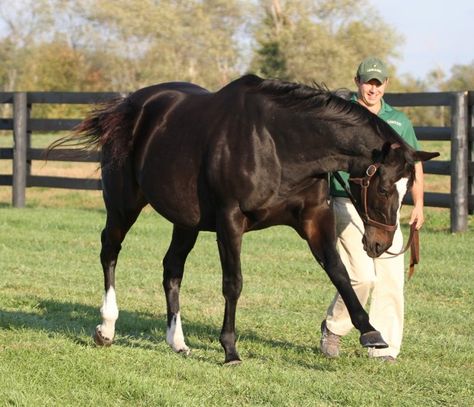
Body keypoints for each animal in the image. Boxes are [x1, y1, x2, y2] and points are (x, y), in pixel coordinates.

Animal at [51, 75, 436, 364]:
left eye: (407, 189)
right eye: (384, 188)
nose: (380, 243)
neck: (279, 143)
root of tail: (129, 106)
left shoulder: (314, 220)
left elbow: (340, 273)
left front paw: (372, 333)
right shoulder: (230, 221)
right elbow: (233, 283)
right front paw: (230, 350)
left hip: (185, 221)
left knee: (172, 269)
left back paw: (177, 341)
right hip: (123, 205)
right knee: (110, 252)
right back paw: (106, 329)